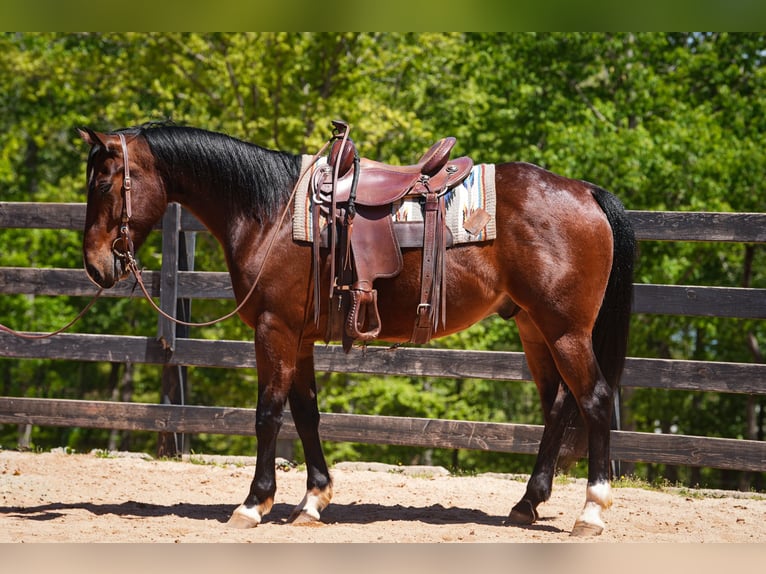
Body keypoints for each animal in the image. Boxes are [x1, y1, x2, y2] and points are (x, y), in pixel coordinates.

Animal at [78, 122, 635, 536]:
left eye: (103, 183)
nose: (96, 267)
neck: (269, 211)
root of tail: (586, 192)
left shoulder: (274, 330)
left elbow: (268, 415)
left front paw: (254, 504)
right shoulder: (299, 338)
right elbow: (306, 414)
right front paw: (313, 500)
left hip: (565, 330)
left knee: (593, 400)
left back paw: (591, 510)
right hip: (535, 329)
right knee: (559, 405)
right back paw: (526, 503)